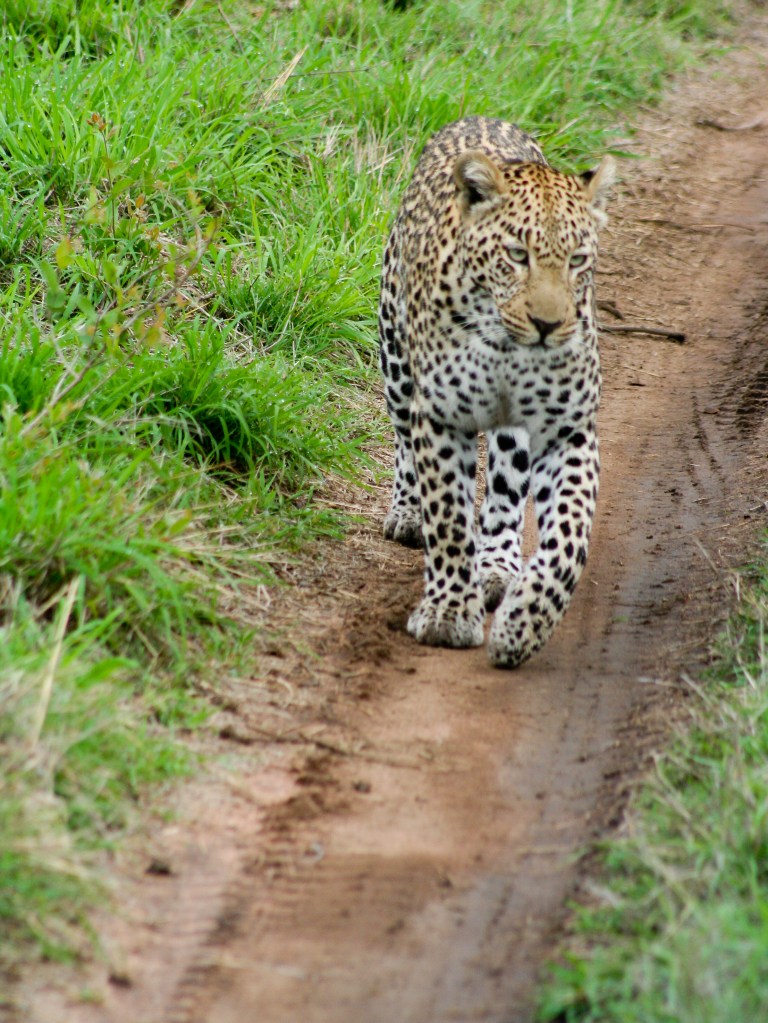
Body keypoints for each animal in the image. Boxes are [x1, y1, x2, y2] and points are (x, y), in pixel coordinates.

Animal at [378, 116, 615, 668]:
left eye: (577, 260)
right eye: (516, 255)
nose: (548, 325)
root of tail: (482, 118)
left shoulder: (567, 430)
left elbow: (568, 535)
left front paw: (525, 624)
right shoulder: (441, 417)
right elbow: (447, 518)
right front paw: (447, 615)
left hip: (514, 433)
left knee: (506, 489)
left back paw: (496, 567)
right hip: (396, 359)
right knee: (402, 440)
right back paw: (407, 512)